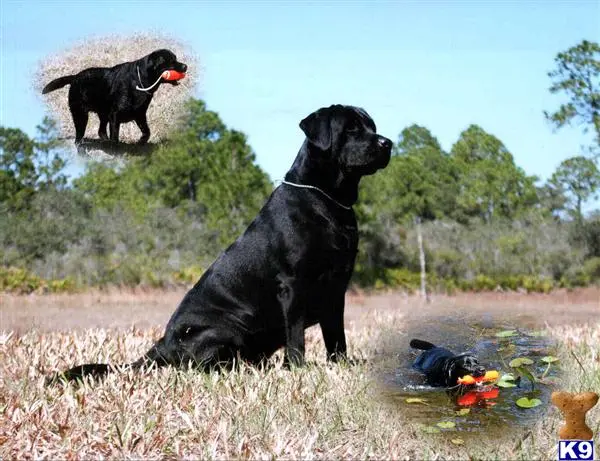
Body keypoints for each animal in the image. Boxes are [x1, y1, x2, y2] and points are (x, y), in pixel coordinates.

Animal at [41, 49, 186, 146]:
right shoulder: (115, 116)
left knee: (100, 131)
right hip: (80, 114)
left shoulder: (140, 114)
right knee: (79, 138)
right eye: (170, 61)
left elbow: (147, 132)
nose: (185, 66)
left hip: (103, 113)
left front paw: (140, 142)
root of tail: (75, 77)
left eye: (175, 58)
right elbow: (115, 137)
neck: (139, 82)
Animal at [48, 105, 394, 384]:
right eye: (351, 129)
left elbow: (337, 337)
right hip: (227, 326)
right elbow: (296, 337)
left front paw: (341, 364)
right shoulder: (294, 284)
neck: (329, 201)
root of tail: (162, 344)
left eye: (372, 126)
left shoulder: (336, 287)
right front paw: (297, 369)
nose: (386, 143)